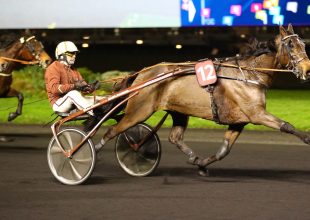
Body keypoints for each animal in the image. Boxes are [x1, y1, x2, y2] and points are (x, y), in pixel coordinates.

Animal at [98, 24, 310, 175]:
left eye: (303, 44)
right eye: (291, 45)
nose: (307, 69)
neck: (249, 74)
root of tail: (142, 73)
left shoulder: (239, 121)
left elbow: (224, 150)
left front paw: (201, 165)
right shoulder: (257, 114)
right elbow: (287, 126)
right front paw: (307, 138)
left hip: (178, 111)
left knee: (174, 137)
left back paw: (191, 157)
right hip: (139, 111)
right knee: (111, 131)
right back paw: (94, 153)